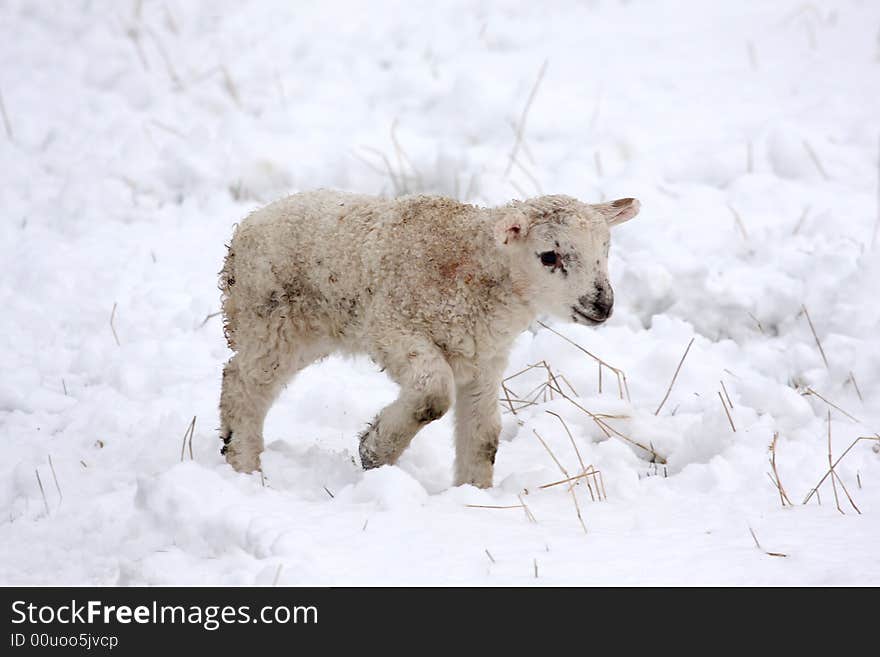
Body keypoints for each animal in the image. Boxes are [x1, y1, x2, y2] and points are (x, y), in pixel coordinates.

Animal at [217, 190, 636, 486]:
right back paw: (243, 464)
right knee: (243, 384)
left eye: (605, 251)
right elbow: (433, 396)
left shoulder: (484, 359)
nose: (602, 304)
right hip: (271, 320)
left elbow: (484, 435)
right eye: (550, 256)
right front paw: (374, 450)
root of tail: (248, 223)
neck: (474, 271)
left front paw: (474, 495)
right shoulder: (394, 328)